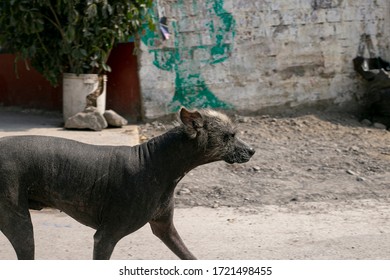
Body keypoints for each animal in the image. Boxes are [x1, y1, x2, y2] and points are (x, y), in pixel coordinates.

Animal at [0, 106, 254, 258]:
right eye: (229, 136)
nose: (252, 150)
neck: (155, 162)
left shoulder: (165, 229)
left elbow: (189, 256)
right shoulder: (105, 238)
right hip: (21, 225)